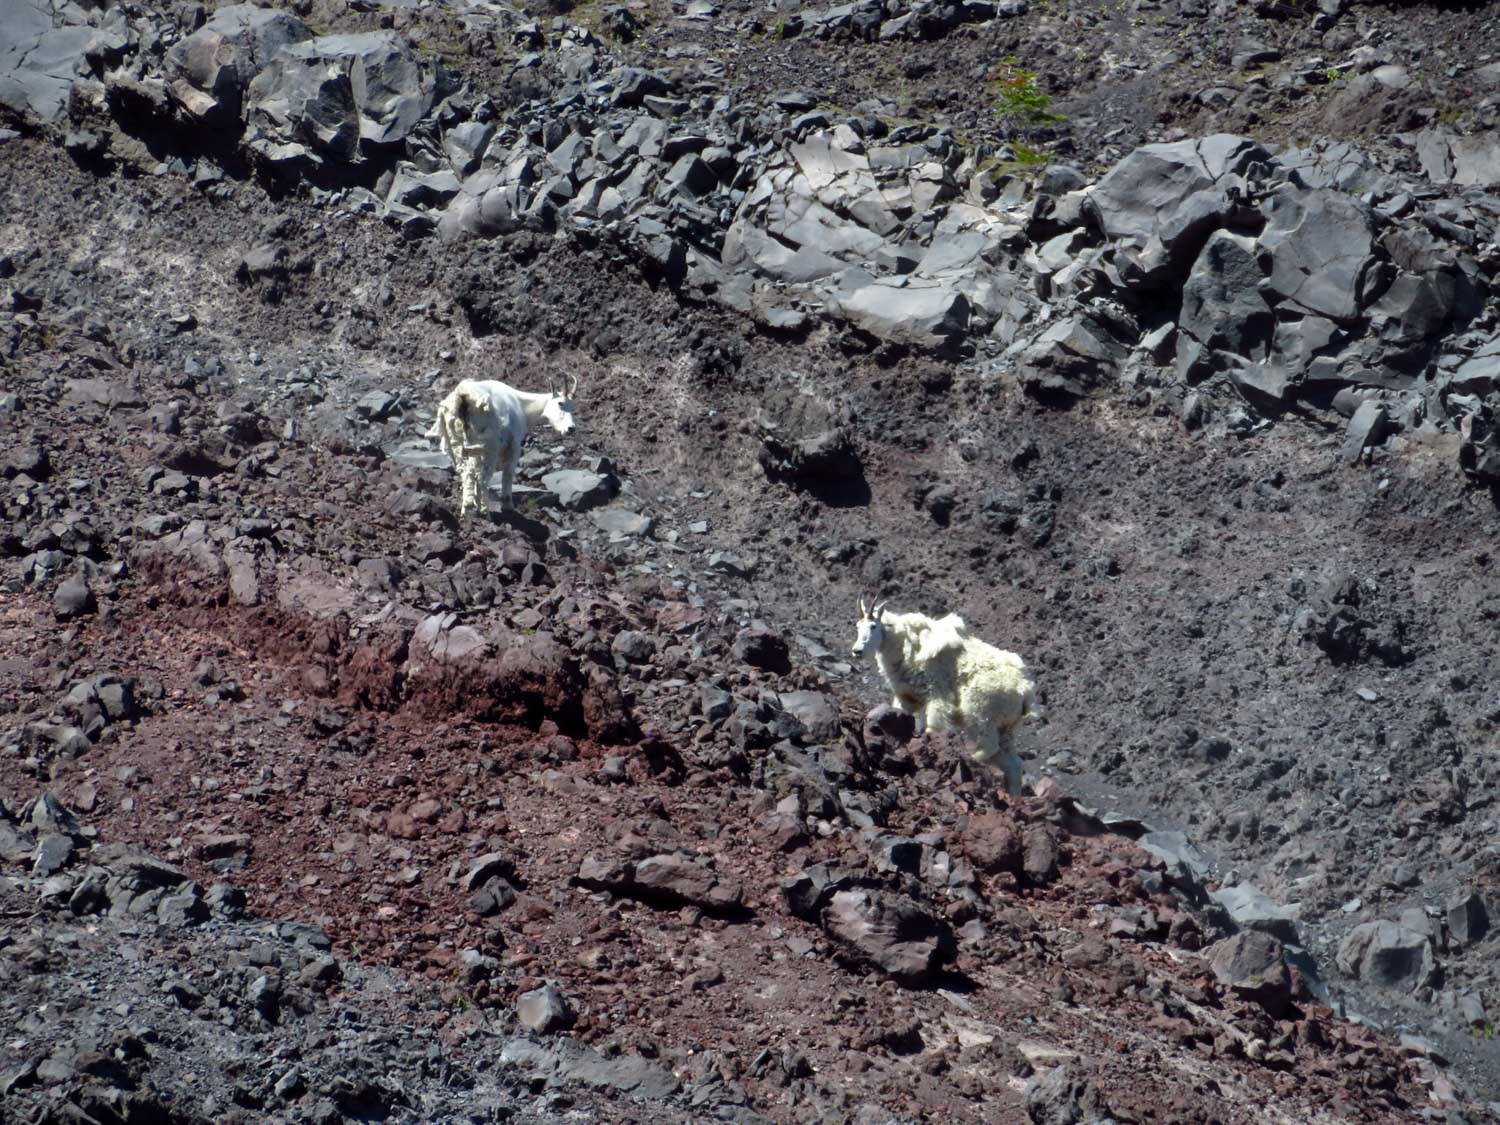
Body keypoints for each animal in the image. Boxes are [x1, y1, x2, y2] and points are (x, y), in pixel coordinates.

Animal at [435, 379, 579, 519]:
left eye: (572, 406)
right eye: (560, 403)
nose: (571, 428)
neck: (522, 404)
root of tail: (464, 397)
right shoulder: (514, 444)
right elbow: (508, 473)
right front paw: (508, 506)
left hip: (458, 444)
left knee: (466, 473)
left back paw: (467, 510)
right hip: (488, 446)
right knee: (482, 477)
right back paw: (485, 512)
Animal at [852, 600, 1038, 792]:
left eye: (873, 626)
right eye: (857, 626)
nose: (857, 651)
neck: (902, 643)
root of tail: (1025, 692)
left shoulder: (936, 694)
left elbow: (934, 726)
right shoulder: (907, 697)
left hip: (981, 714)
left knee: (990, 746)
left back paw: (973, 759)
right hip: (1007, 727)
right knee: (1013, 763)